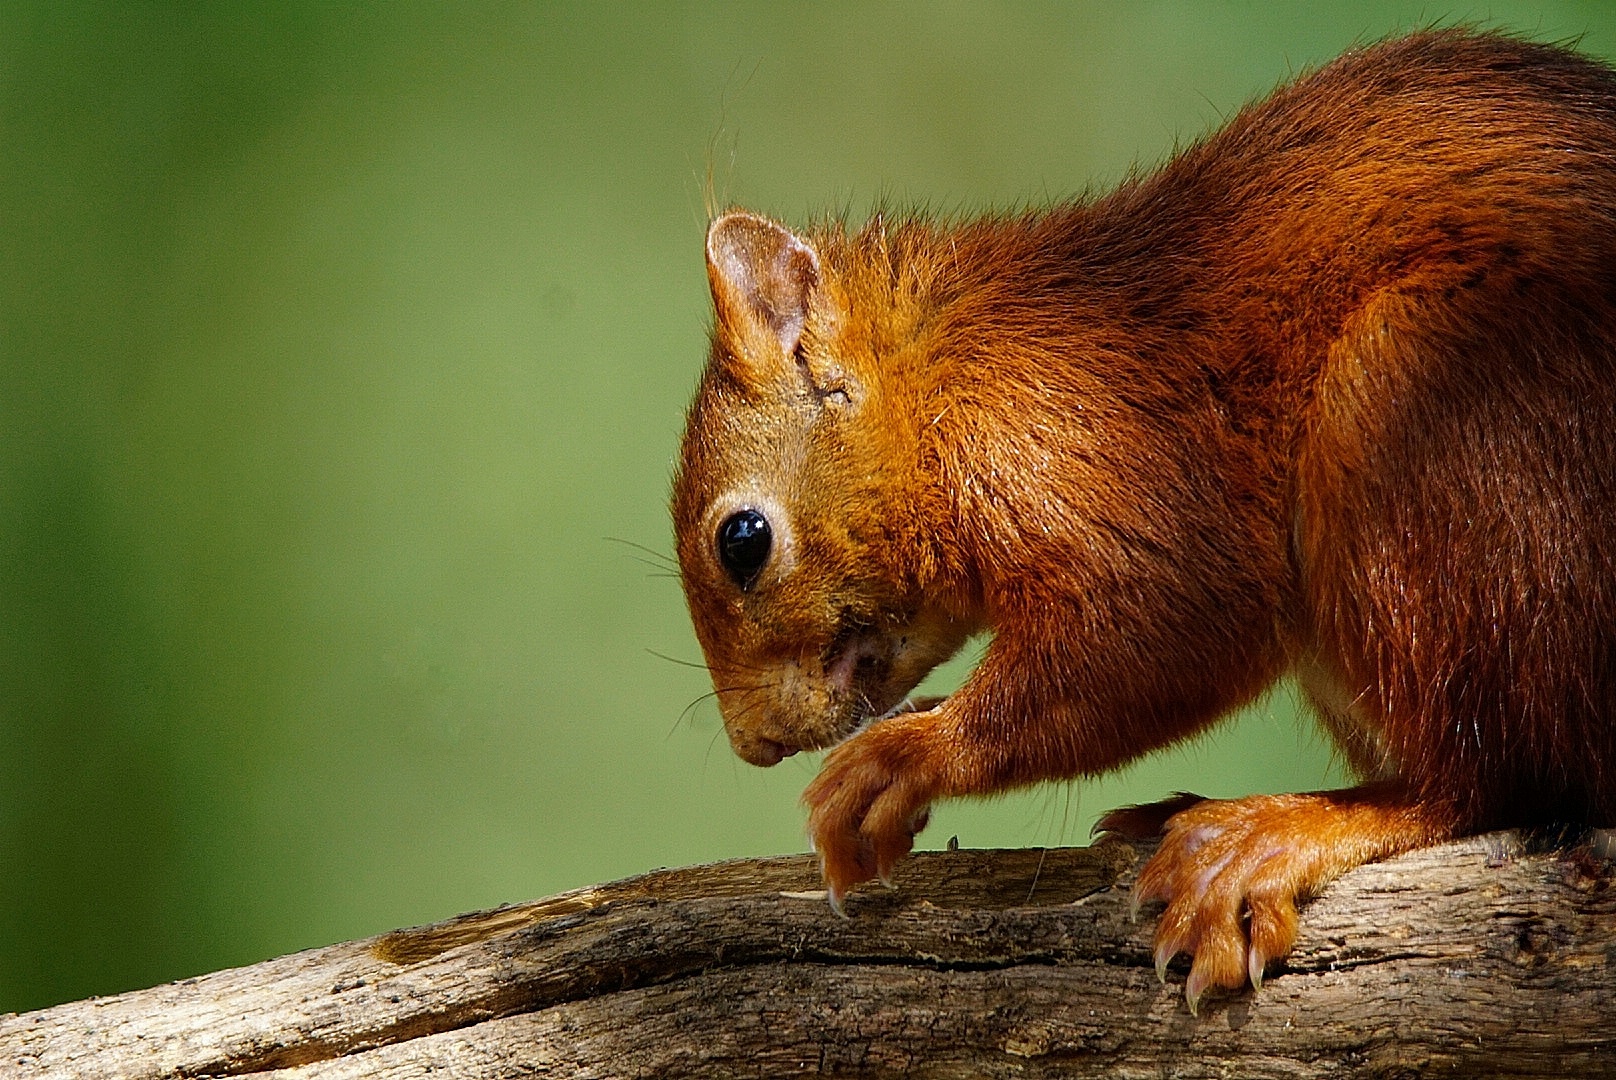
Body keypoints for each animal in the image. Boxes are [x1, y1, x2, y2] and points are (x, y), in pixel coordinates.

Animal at [665, 31, 1616, 1015]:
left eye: (743, 541)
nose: (754, 746)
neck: (951, 384)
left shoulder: (1096, 462)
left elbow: (1161, 629)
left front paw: (906, 754)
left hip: (1421, 405)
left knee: (1497, 778)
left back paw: (1266, 838)